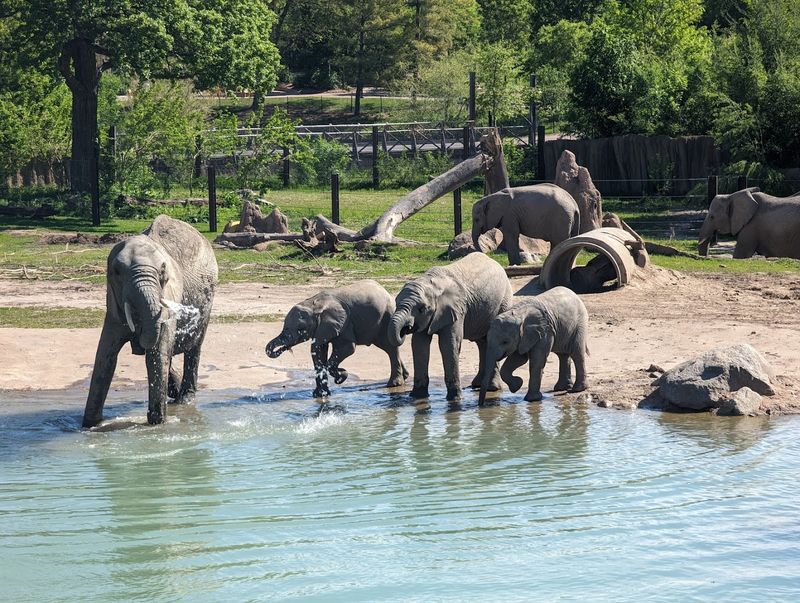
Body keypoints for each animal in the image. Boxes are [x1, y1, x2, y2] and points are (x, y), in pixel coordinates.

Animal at [82, 215, 218, 427]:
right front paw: (90, 425)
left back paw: (185, 399)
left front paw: (157, 424)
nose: (137, 342)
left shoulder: (170, 295)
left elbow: (157, 354)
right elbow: (105, 356)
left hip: (208, 299)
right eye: (117, 272)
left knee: (194, 347)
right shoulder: (113, 305)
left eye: (162, 272)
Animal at [266, 280, 408, 397]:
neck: (314, 304)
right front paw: (320, 395)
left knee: (390, 347)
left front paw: (341, 377)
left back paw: (394, 384)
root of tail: (385, 290)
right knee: (386, 347)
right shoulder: (323, 328)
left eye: (301, 329)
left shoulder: (344, 324)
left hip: (386, 317)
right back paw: (405, 377)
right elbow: (318, 351)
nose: (285, 347)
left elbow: (348, 348)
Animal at [388, 253, 513, 401]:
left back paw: (492, 388)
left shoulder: (456, 309)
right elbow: (419, 345)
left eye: (422, 309)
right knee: (482, 342)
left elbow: (449, 344)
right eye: (396, 303)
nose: (405, 329)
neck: (431, 284)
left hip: (503, 301)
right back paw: (478, 384)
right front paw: (417, 397)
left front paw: (455, 399)